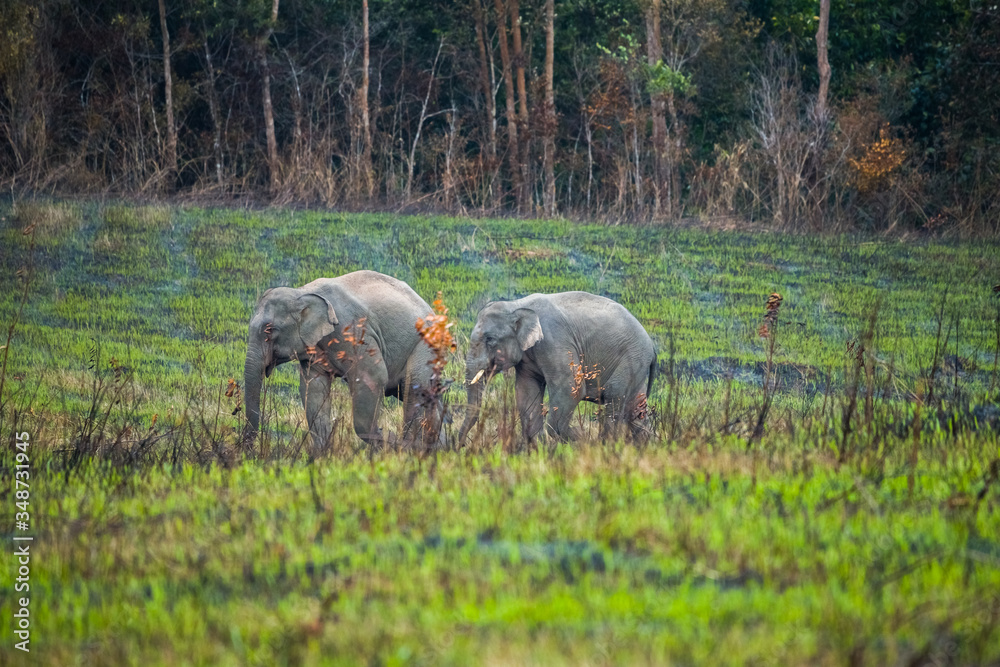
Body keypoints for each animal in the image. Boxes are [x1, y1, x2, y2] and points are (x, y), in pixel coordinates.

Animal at [243, 270, 441, 450]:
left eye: (270, 330)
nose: (249, 451)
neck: (301, 292)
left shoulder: (353, 332)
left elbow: (373, 377)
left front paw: (389, 440)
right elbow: (313, 389)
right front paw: (322, 455)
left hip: (425, 346)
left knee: (415, 389)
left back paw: (414, 447)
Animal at [458, 292, 656, 444]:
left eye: (490, 340)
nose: (460, 446)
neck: (516, 305)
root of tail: (652, 346)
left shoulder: (555, 341)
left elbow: (571, 388)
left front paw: (573, 438)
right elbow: (526, 392)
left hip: (631, 359)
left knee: (614, 398)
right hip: (636, 365)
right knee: (636, 410)